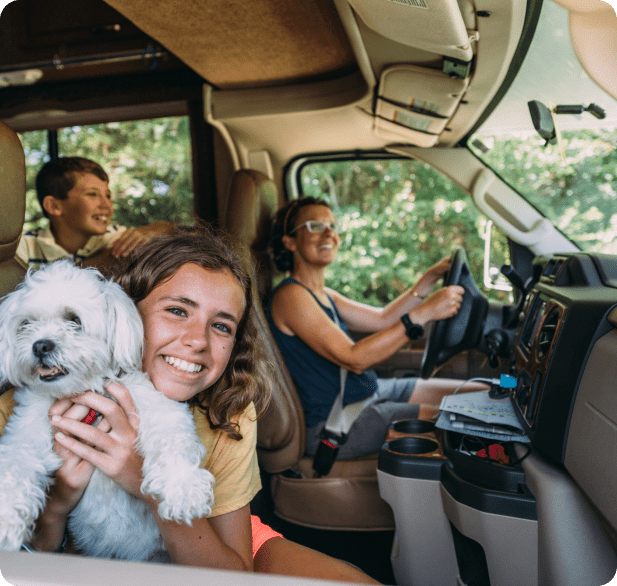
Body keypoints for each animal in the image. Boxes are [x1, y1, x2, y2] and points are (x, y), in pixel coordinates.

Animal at [0, 260, 214, 556]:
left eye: (74, 320)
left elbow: (171, 438)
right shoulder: (27, 431)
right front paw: (6, 516)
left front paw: (183, 487)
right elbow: (15, 463)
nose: (40, 345)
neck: (82, 391)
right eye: (26, 324)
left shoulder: (154, 402)